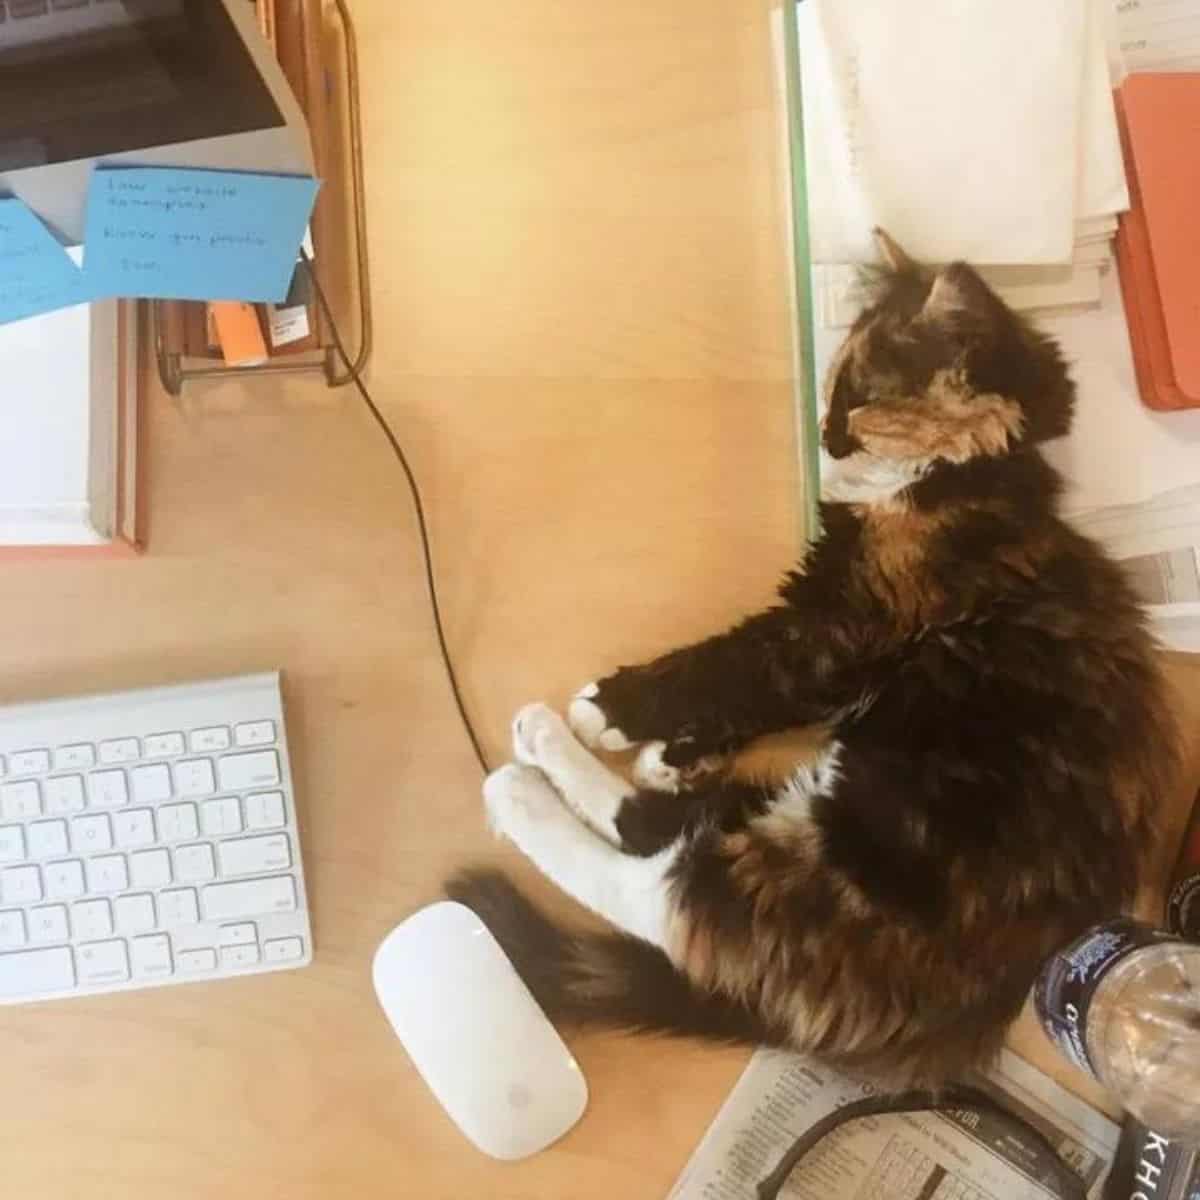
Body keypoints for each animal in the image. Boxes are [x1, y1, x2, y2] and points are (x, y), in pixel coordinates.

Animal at [446, 229, 1176, 1084]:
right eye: (830, 389)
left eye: (862, 402)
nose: (826, 435)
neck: (964, 478)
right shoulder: (835, 646)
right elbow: (757, 693)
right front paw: (674, 750)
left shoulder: (842, 624)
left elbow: (734, 662)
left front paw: (612, 713)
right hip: (818, 803)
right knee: (664, 827)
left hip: (850, 858)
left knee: (662, 887)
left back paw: (528, 771)